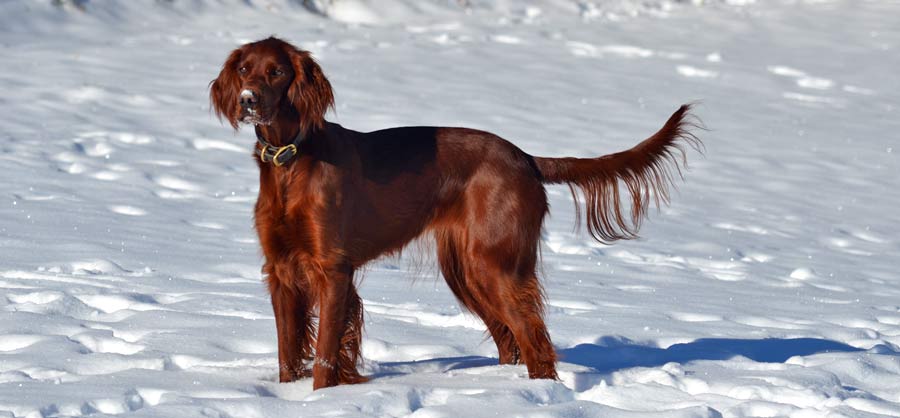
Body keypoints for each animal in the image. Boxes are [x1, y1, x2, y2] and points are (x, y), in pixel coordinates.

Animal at [211, 36, 704, 388]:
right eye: (243, 69)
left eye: (277, 71)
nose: (248, 99)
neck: (291, 159)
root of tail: (525, 158)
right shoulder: (280, 271)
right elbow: (287, 354)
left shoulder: (332, 269)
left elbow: (325, 358)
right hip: (466, 269)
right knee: (510, 341)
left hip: (493, 265)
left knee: (535, 340)